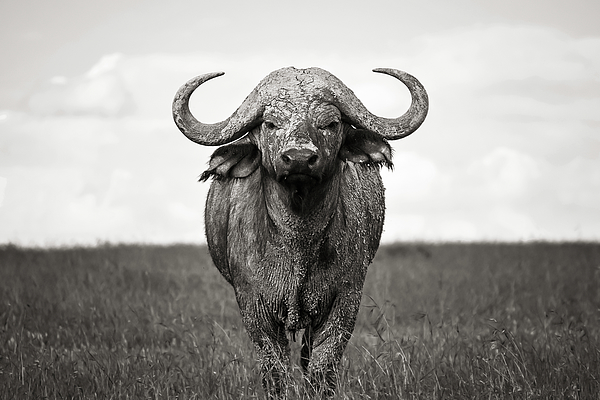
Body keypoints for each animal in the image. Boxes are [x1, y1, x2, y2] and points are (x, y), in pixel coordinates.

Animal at [171, 67, 428, 396]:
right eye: (270, 123)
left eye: (330, 124)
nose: (299, 159)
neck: (299, 240)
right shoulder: (254, 306)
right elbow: (275, 370)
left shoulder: (346, 300)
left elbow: (321, 365)